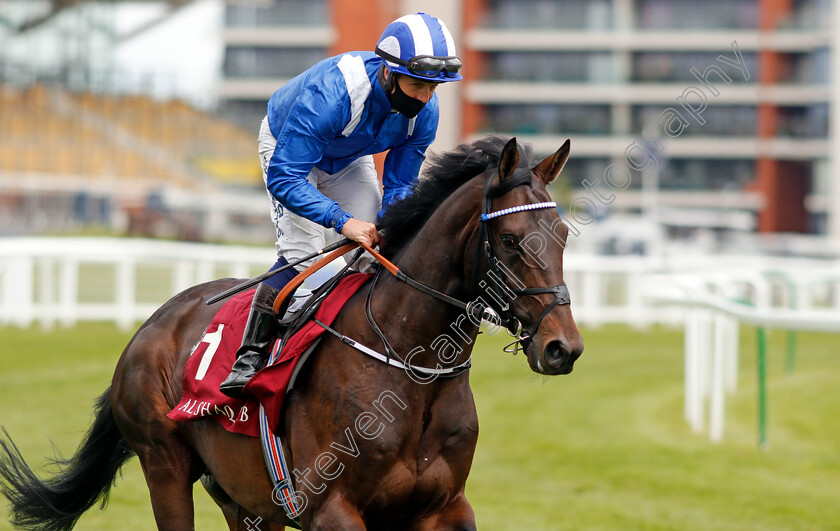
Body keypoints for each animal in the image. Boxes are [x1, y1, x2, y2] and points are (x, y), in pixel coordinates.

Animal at [0, 135, 580, 528]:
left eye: (563, 233)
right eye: (510, 239)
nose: (563, 348)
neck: (411, 367)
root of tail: (151, 324)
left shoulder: (445, 508)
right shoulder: (332, 508)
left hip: (244, 497)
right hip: (163, 463)